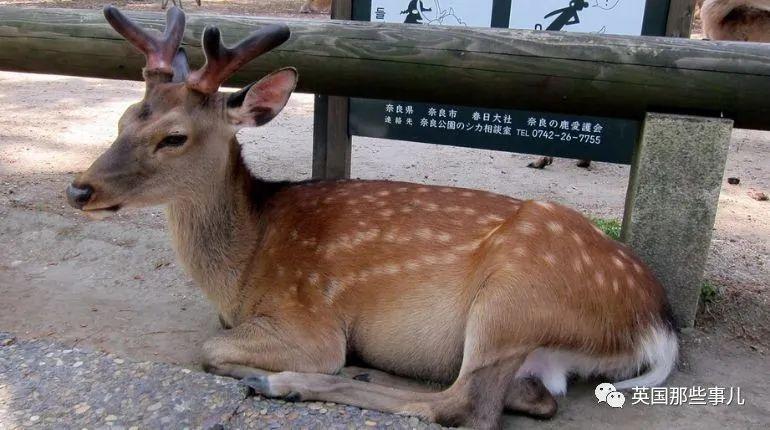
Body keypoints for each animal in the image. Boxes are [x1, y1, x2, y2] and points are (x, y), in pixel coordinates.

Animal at [66, 6, 676, 430]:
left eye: (174, 137)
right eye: (124, 117)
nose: (79, 188)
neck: (242, 268)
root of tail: (658, 327)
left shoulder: (308, 320)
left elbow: (212, 349)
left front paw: (281, 370)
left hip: (514, 295)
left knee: (464, 406)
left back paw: (284, 382)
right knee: (530, 396)